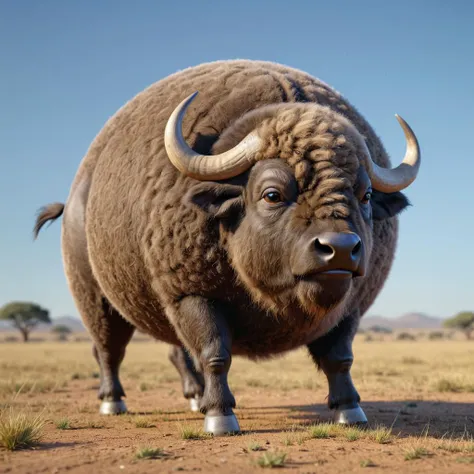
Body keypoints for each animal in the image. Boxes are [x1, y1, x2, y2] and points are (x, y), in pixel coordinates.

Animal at [33, 60, 420, 436]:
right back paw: (113, 401)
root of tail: (75, 201)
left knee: (175, 353)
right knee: (107, 349)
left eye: (365, 195)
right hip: (96, 299)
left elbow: (339, 358)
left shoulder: (349, 306)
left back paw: (194, 397)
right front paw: (220, 416)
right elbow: (215, 354)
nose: (339, 248)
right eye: (272, 194)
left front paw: (349, 410)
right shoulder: (192, 294)